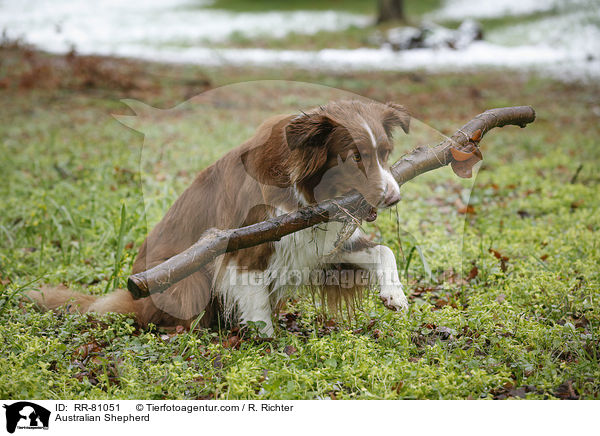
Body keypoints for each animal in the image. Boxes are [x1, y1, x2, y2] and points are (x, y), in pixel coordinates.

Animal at [30, 99, 410, 338]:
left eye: (385, 153)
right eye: (354, 157)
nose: (394, 198)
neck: (304, 190)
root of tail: (133, 297)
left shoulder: (317, 243)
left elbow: (383, 250)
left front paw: (395, 295)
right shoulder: (248, 246)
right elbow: (256, 301)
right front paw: (267, 343)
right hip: (185, 277)